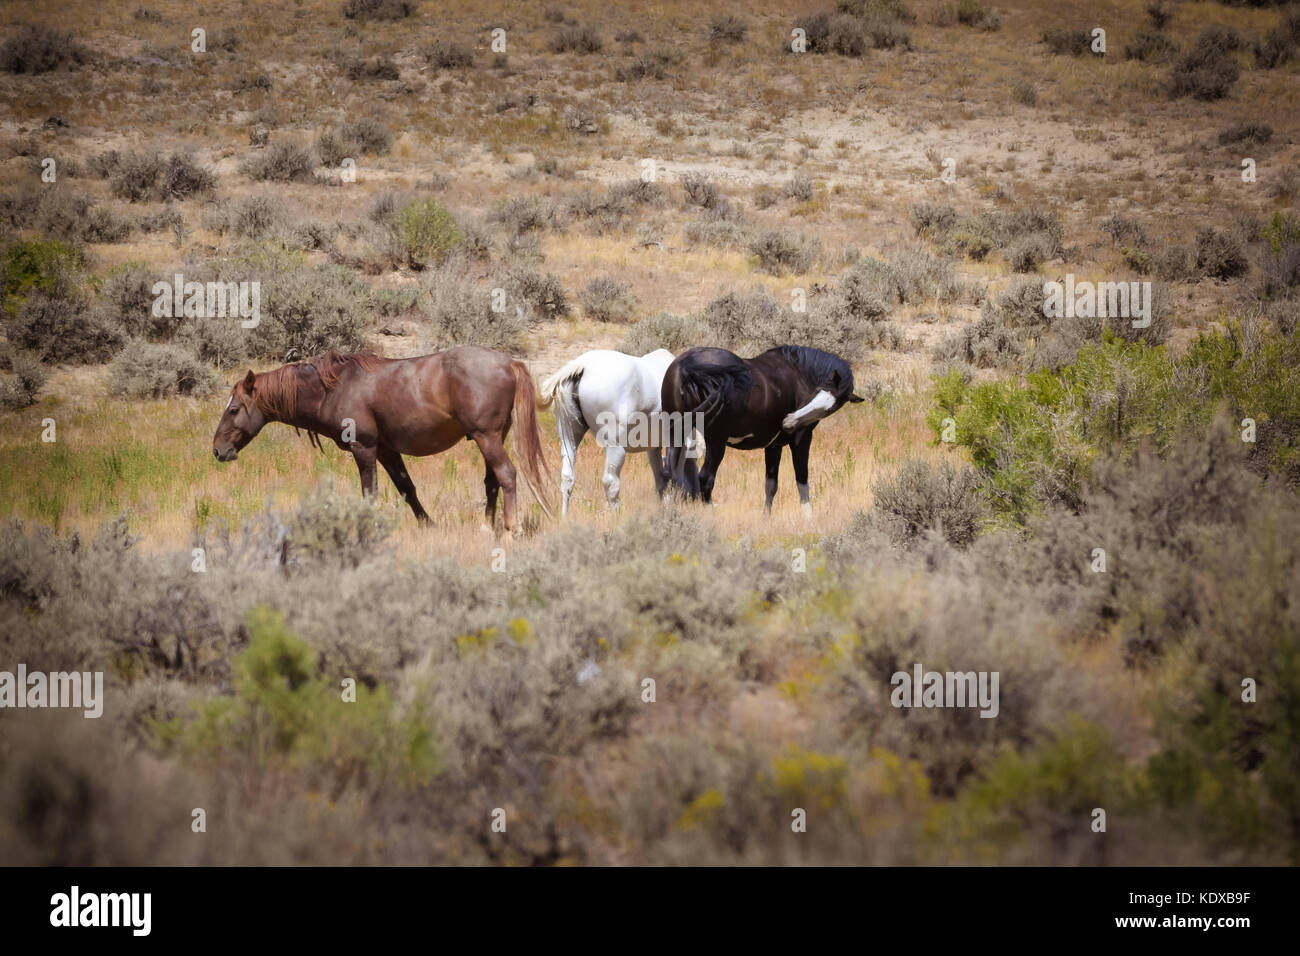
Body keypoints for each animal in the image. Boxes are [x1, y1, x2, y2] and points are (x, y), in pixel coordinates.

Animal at [211, 347, 554, 533]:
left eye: (234, 409)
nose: (218, 450)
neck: (334, 388)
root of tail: (509, 362)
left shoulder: (363, 448)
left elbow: (370, 494)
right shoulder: (387, 451)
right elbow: (407, 488)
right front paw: (427, 525)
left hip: (488, 438)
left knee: (507, 474)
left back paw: (511, 528)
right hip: (491, 439)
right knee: (492, 480)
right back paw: (486, 527)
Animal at [538, 348, 676, 515]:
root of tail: (583, 365)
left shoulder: (654, 447)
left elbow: (661, 478)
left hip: (568, 437)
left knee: (567, 478)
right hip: (615, 447)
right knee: (611, 482)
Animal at [660, 344, 864, 514]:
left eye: (831, 407)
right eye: (817, 391)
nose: (788, 422)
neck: (797, 373)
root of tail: (688, 365)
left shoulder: (774, 446)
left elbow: (771, 485)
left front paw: (766, 517)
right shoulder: (801, 439)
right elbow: (802, 481)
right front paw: (809, 519)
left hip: (676, 436)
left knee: (670, 474)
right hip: (716, 443)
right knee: (705, 479)